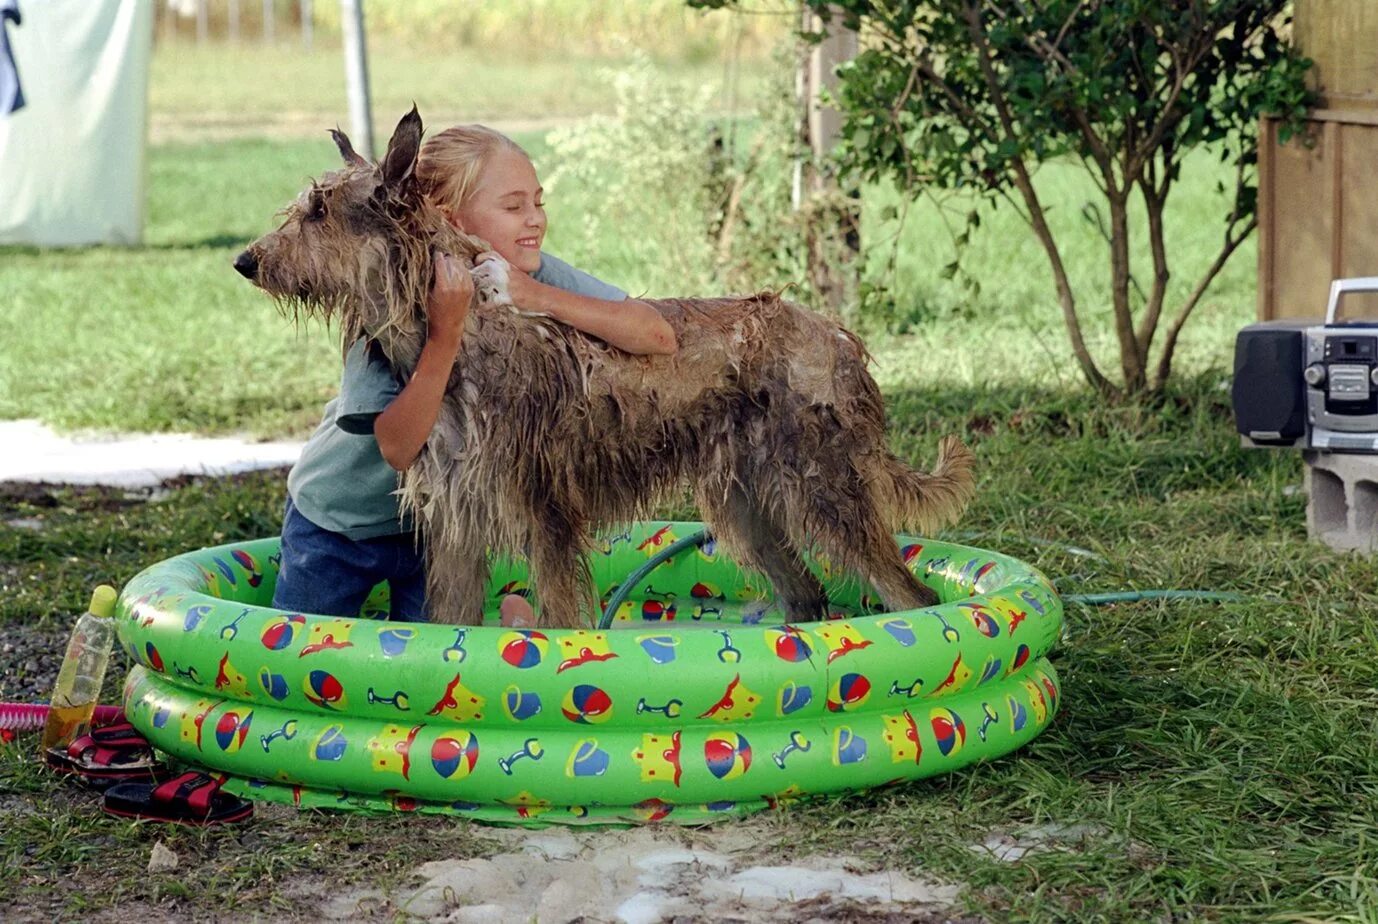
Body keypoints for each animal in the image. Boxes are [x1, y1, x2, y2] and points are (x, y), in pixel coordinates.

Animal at [231, 110, 975, 627]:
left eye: (319, 210)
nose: (245, 261)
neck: (457, 337)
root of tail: (839, 339)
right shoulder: (458, 523)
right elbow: (446, 627)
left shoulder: (546, 518)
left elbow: (561, 622)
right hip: (746, 503)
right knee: (809, 593)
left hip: (824, 491)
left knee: (908, 593)